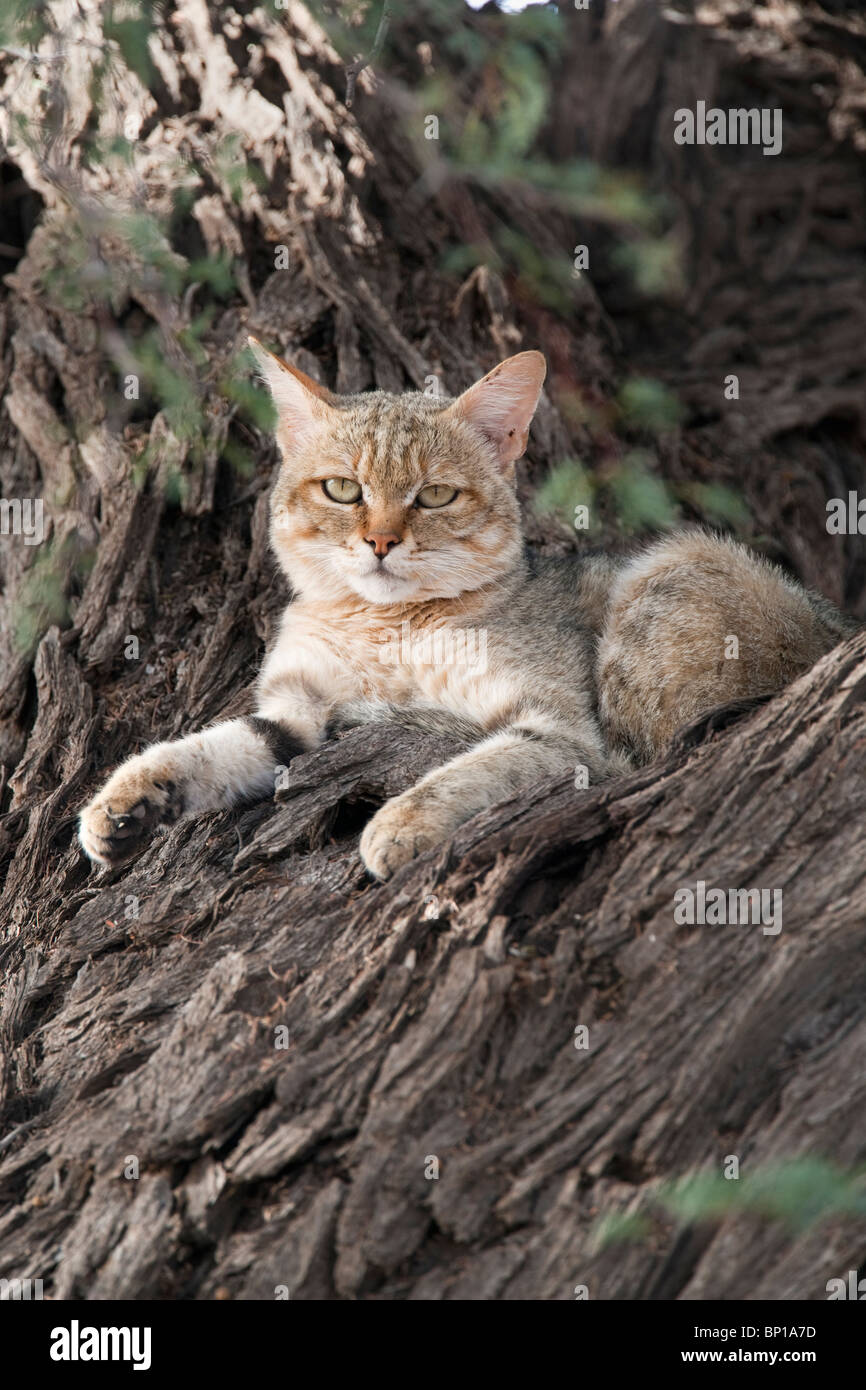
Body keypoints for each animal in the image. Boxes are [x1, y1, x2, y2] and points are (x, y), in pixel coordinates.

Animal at [77, 340, 856, 872]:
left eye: (435, 496)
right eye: (343, 490)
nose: (381, 541)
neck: (385, 627)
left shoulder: (564, 735)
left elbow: (478, 767)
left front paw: (400, 825)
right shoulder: (293, 710)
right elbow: (211, 746)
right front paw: (126, 800)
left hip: (664, 574)